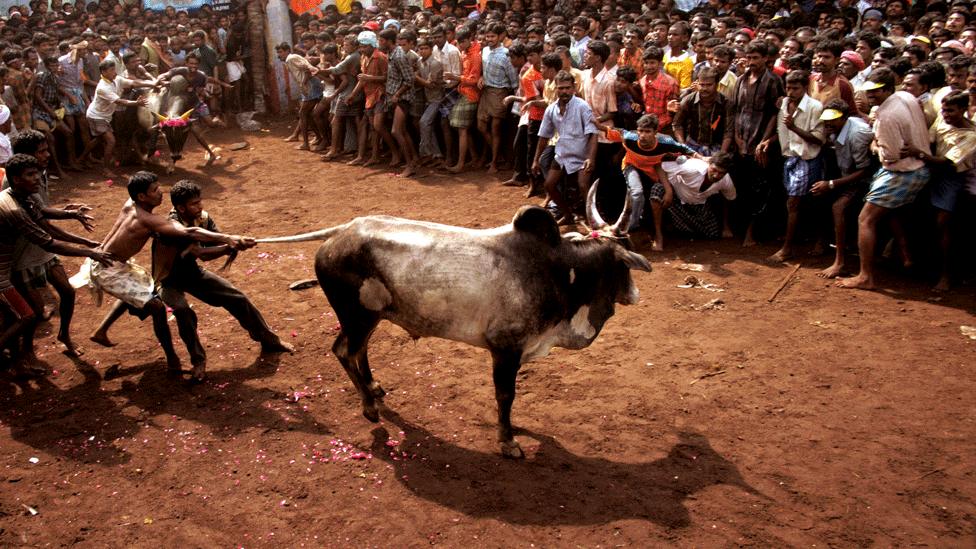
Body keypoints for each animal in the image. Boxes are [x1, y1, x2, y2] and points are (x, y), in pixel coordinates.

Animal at [255, 184, 652, 458]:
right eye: (625, 262)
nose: (635, 294)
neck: (558, 271)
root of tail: (341, 232)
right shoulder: (505, 349)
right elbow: (505, 395)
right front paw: (508, 443)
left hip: (371, 316)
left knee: (358, 351)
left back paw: (374, 388)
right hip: (357, 315)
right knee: (343, 351)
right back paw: (368, 407)